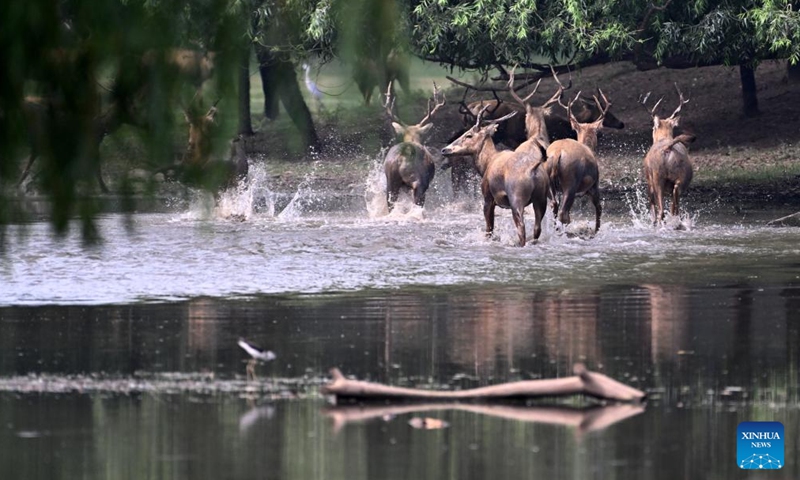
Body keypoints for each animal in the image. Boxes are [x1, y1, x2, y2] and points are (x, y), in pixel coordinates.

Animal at [441, 106, 550, 247]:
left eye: (468, 135)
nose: (445, 149)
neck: (486, 163)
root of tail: (534, 169)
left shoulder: (488, 198)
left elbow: (489, 229)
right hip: (541, 199)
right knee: (537, 229)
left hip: (517, 199)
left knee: (521, 228)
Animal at [545, 90, 611, 234]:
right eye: (597, 131)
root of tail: (557, 153)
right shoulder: (593, 185)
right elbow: (599, 207)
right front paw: (596, 231)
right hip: (571, 182)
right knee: (564, 213)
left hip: (548, 182)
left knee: (554, 205)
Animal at [640, 85, 695, 224]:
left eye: (653, 127)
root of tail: (668, 147)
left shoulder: (648, 179)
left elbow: (652, 205)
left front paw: (652, 221)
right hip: (682, 178)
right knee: (675, 206)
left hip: (658, 178)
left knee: (662, 211)